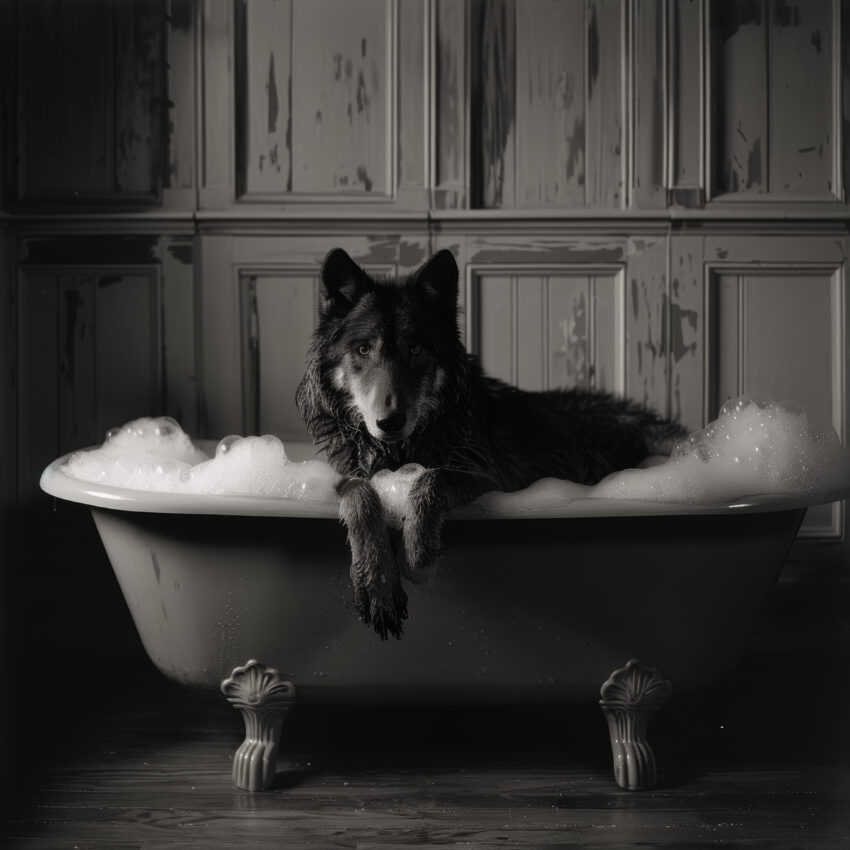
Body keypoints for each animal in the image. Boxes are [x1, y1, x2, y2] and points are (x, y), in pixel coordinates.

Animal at [296, 248, 685, 640]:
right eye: (363, 349)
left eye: (417, 348)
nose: (390, 421)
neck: (400, 451)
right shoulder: (340, 474)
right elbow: (359, 494)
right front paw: (377, 581)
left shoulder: (488, 477)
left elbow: (431, 478)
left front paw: (417, 552)